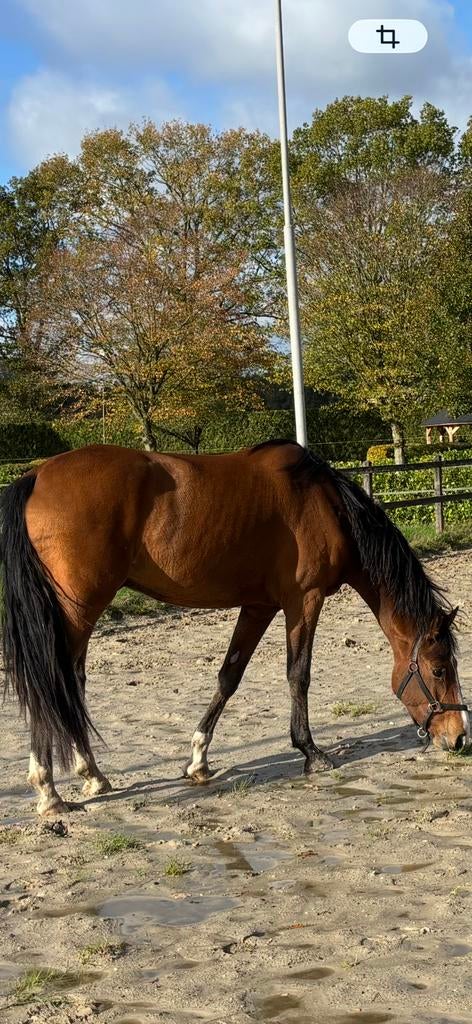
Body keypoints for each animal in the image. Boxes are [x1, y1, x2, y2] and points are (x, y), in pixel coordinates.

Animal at [1, 439, 469, 817]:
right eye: (440, 669)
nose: (459, 738)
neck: (325, 504)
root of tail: (35, 475)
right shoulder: (304, 600)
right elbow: (298, 674)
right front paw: (311, 752)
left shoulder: (259, 606)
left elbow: (229, 677)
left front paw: (198, 760)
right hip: (77, 610)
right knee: (51, 683)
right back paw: (49, 790)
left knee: (69, 686)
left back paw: (92, 775)